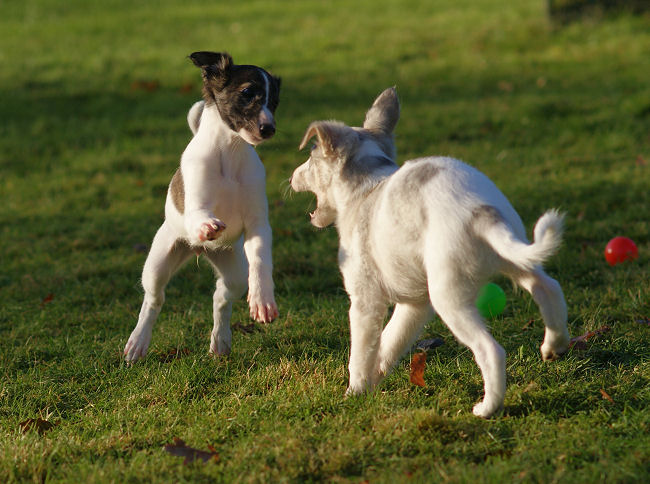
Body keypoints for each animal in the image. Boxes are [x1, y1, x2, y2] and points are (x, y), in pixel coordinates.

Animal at [124, 52, 278, 364]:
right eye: (247, 93)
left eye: (275, 101)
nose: (269, 129)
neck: (229, 153)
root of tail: (199, 251)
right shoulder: (197, 203)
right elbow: (200, 214)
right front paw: (207, 225)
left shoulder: (257, 225)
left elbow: (260, 261)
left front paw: (263, 300)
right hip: (159, 262)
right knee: (153, 300)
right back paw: (138, 342)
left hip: (234, 269)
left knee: (222, 296)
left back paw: (220, 341)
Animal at [288, 87, 568, 416]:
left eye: (310, 156)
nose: (291, 177)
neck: (366, 187)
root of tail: (480, 211)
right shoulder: (416, 303)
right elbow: (390, 341)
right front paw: (374, 380)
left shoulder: (365, 301)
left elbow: (361, 353)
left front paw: (354, 393)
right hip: (514, 256)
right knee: (549, 287)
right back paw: (554, 346)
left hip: (448, 296)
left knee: (491, 349)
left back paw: (487, 407)